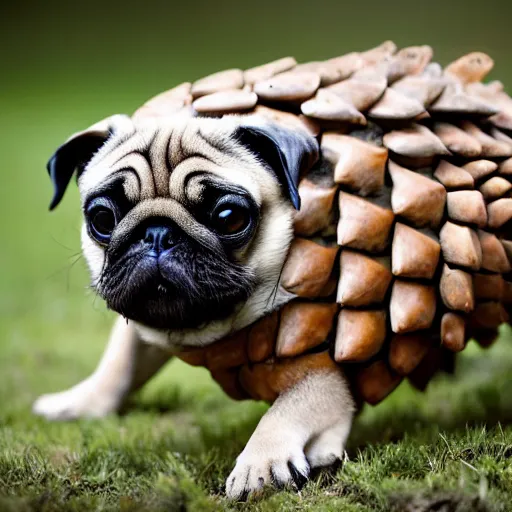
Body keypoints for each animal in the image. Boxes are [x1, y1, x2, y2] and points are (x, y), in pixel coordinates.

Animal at [31, 113, 352, 500]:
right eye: (103, 219)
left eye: (229, 217)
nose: (157, 234)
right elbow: (121, 361)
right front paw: (83, 401)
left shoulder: (325, 373)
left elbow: (288, 407)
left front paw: (259, 462)